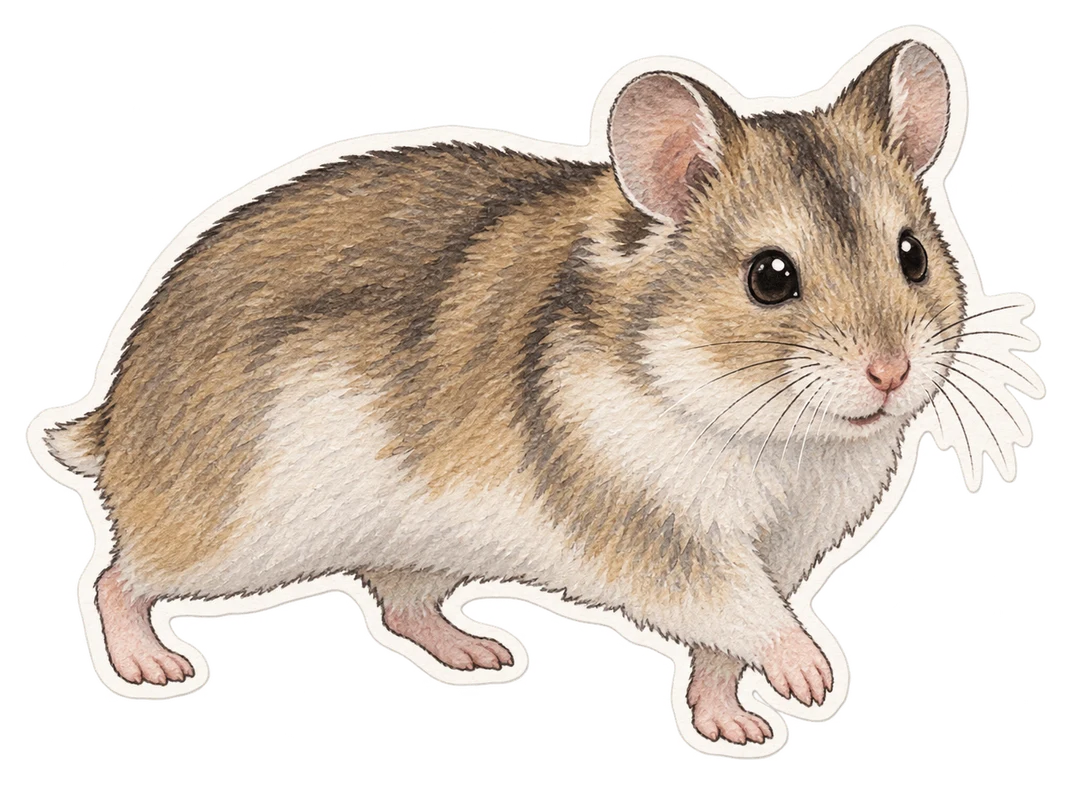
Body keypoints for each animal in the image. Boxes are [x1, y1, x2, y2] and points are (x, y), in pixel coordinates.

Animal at [45, 41, 962, 744]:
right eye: (770, 277)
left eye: (913, 253)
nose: (891, 373)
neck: (776, 433)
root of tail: (117, 416)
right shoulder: (663, 531)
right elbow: (744, 614)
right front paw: (815, 678)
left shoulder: (782, 546)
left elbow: (722, 653)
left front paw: (735, 727)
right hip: (227, 535)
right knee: (115, 579)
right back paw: (152, 665)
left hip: (415, 545)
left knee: (397, 603)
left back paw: (483, 653)